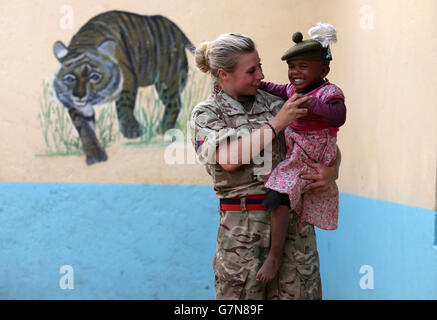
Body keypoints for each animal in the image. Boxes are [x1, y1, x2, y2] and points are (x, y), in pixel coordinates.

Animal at [51, 10, 194, 165]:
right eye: (70, 78)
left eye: (94, 77)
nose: (79, 95)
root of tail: (174, 26)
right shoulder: (77, 105)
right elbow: (85, 128)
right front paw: (94, 154)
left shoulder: (127, 83)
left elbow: (125, 107)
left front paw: (131, 131)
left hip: (167, 80)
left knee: (175, 103)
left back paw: (163, 129)